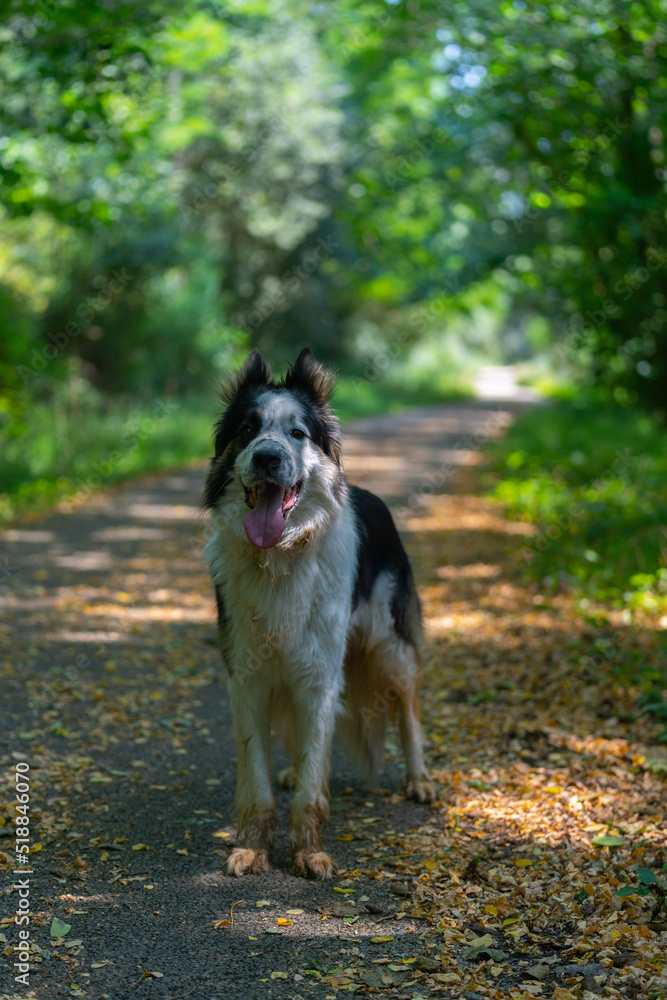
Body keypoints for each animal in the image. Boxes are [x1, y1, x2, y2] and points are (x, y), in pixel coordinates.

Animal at [204, 348, 434, 880]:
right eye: (248, 429)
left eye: (297, 433)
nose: (267, 458)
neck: (282, 555)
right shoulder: (247, 676)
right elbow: (258, 779)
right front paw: (253, 848)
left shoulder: (320, 676)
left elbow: (313, 782)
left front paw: (309, 853)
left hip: (390, 646)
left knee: (407, 708)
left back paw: (418, 778)